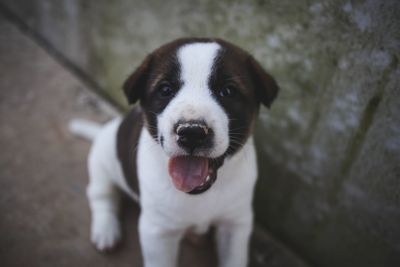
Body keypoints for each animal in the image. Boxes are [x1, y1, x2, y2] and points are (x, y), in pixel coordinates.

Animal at [84, 37, 278, 267]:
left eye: (228, 91)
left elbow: (235, 259)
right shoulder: (157, 233)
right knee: (101, 194)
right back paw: (106, 230)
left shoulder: (236, 223)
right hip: (102, 161)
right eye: (165, 89)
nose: (192, 132)